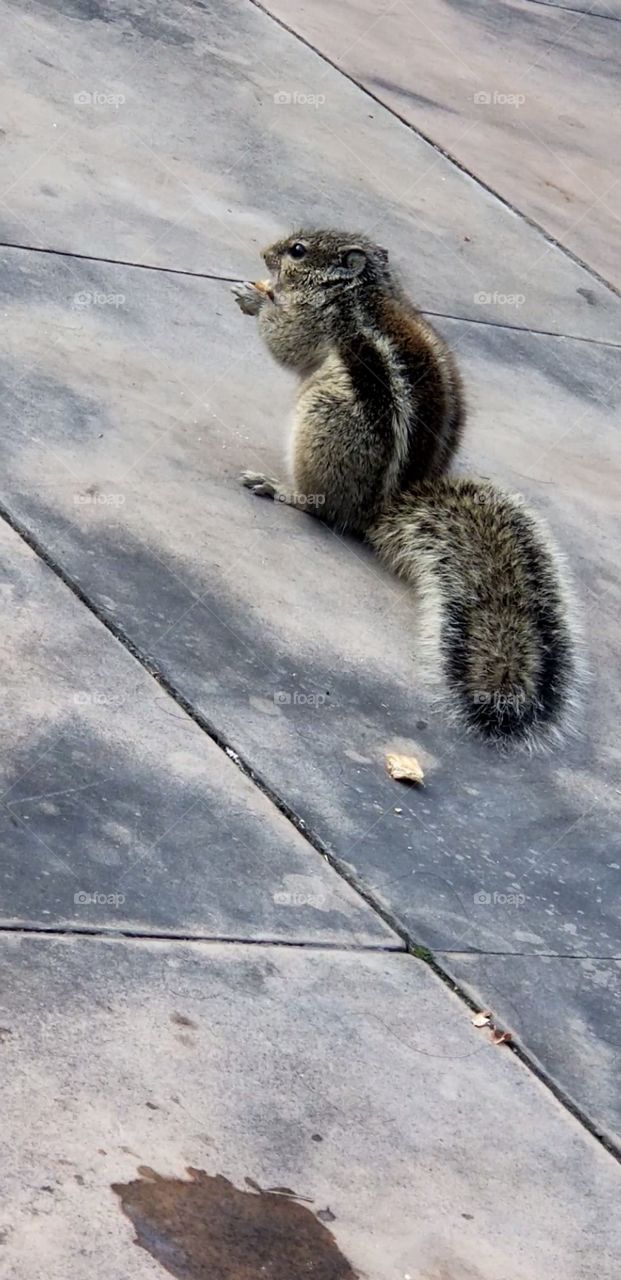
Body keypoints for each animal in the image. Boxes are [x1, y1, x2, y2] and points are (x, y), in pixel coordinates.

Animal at [232, 228, 578, 748]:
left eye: (297, 251)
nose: (264, 254)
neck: (361, 291)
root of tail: (378, 509)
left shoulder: (318, 321)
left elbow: (286, 342)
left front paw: (258, 299)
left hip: (324, 416)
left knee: (325, 510)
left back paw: (281, 489)